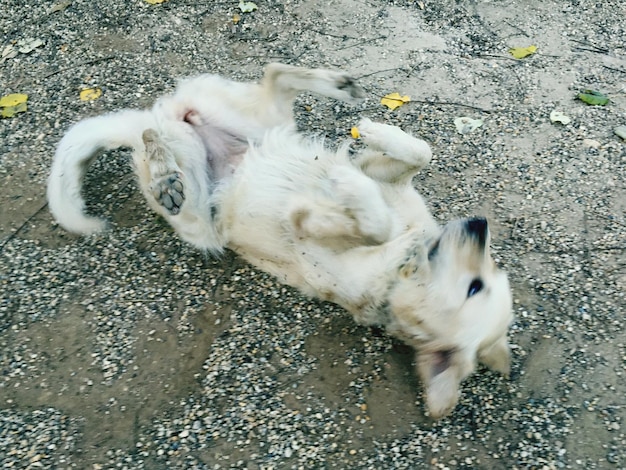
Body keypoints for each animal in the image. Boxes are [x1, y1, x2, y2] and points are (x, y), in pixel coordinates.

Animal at [46, 63, 510, 418]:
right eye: (486, 274)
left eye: (478, 285)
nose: (480, 226)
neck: (405, 267)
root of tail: (169, 120)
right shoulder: (381, 173)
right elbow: (419, 153)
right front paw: (374, 137)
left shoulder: (320, 237)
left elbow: (368, 222)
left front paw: (342, 191)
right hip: (260, 121)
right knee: (272, 74)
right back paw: (338, 85)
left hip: (200, 218)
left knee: (156, 140)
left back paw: (165, 176)